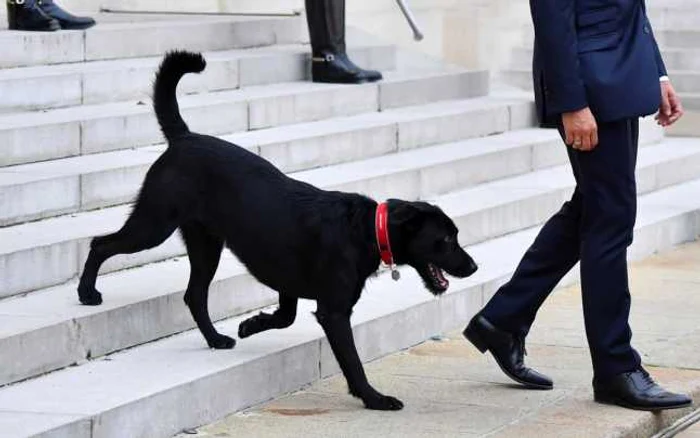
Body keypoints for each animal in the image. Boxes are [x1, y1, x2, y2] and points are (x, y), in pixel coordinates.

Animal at [78, 51, 482, 410]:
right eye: (446, 239)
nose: (474, 267)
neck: (368, 230)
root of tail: (185, 138)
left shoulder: (289, 284)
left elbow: (285, 317)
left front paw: (250, 325)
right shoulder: (334, 312)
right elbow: (351, 361)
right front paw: (374, 399)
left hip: (206, 244)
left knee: (194, 295)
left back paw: (216, 338)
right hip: (154, 224)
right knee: (101, 244)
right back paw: (87, 292)